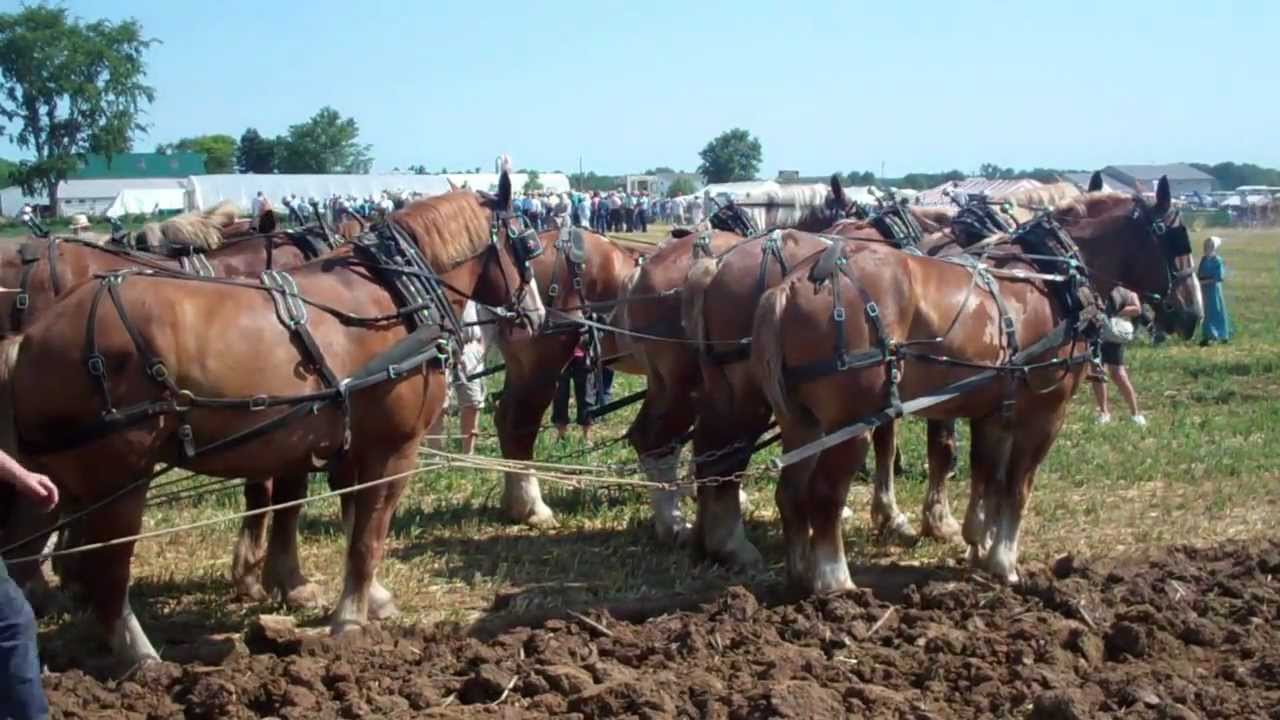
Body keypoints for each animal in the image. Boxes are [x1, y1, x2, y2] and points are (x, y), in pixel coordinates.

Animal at [0, 176, 542, 665]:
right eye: (528, 244)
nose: (534, 315)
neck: (395, 299)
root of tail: (28, 340)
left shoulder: (348, 443)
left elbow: (346, 519)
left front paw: (365, 598)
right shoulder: (393, 448)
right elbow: (366, 535)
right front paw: (349, 620)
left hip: (60, 482)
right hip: (119, 480)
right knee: (106, 568)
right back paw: (141, 658)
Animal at [750, 177, 1202, 594]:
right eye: (1176, 239)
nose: (1192, 314)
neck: (1051, 278)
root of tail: (791, 285)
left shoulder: (994, 410)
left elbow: (988, 476)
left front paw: (977, 545)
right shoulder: (1045, 412)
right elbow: (1018, 486)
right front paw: (1004, 562)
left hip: (803, 423)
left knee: (791, 494)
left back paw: (800, 573)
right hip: (851, 422)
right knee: (825, 496)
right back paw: (835, 582)